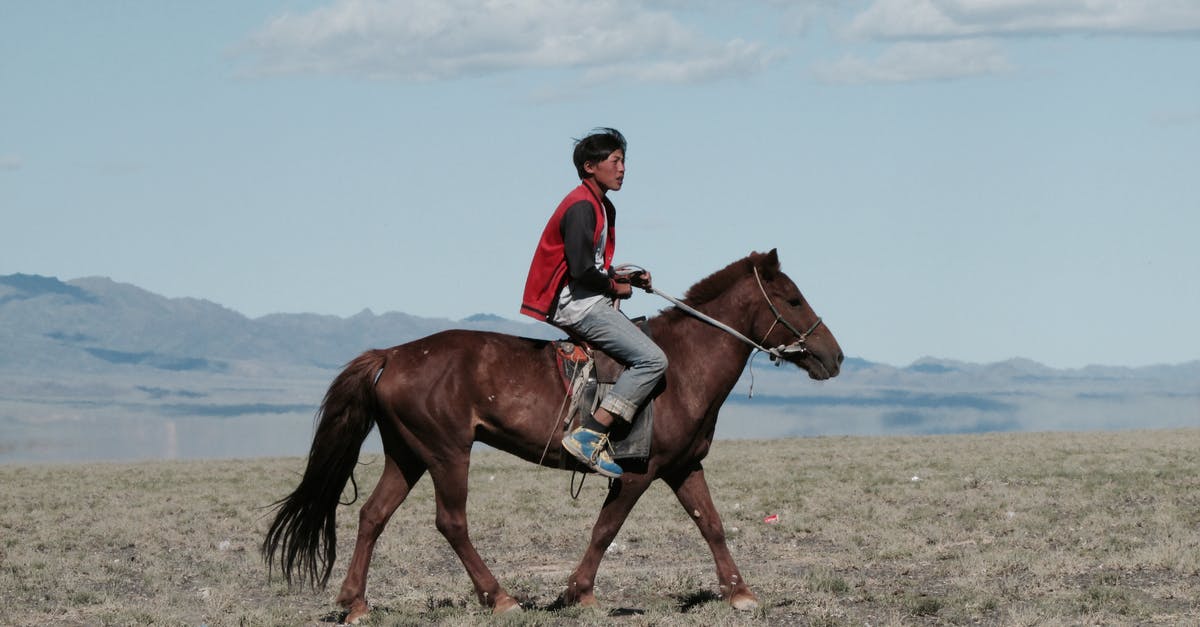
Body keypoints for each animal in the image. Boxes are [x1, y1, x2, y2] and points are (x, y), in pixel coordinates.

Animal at [262, 249, 843, 623]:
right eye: (793, 300)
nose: (834, 357)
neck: (681, 366)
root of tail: (392, 355)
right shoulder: (638, 473)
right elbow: (605, 530)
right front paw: (578, 593)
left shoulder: (683, 466)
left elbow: (712, 525)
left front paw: (740, 594)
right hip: (447, 452)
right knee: (451, 522)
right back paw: (499, 598)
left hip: (408, 454)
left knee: (372, 516)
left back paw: (356, 603)